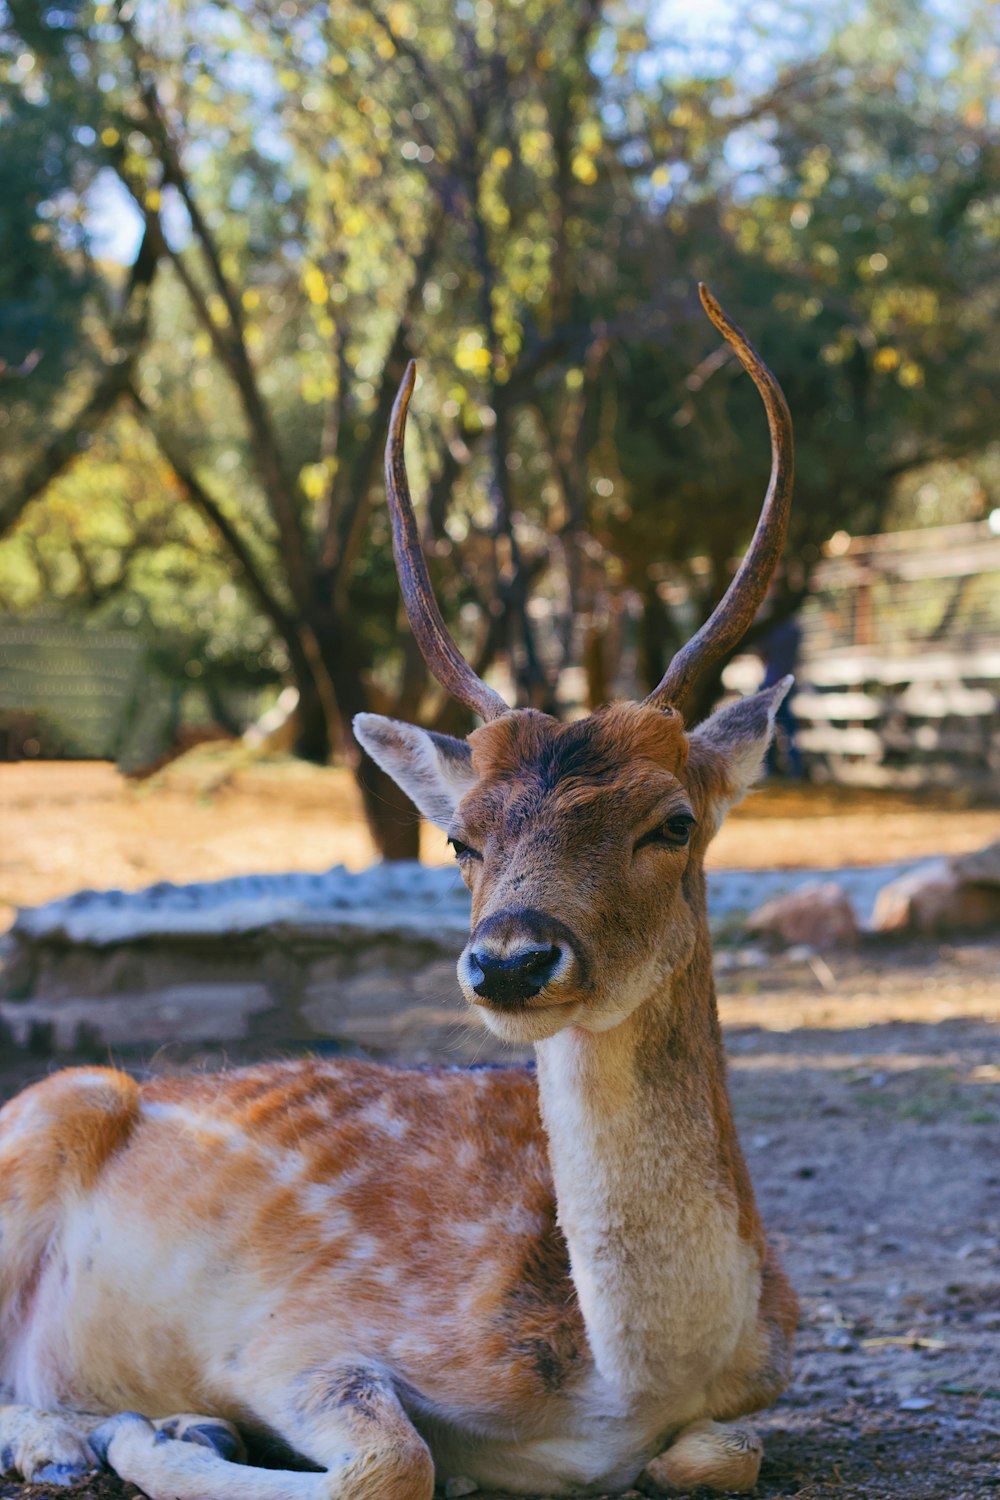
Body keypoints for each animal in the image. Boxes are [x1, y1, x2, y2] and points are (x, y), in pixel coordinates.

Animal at [0, 283, 797, 1500]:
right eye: (460, 837)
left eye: (673, 821)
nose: (511, 958)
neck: (621, 1385)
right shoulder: (289, 1337)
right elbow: (392, 1463)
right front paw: (165, 1428)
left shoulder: (764, 1381)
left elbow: (721, 1454)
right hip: (47, 1106)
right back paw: (65, 1439)